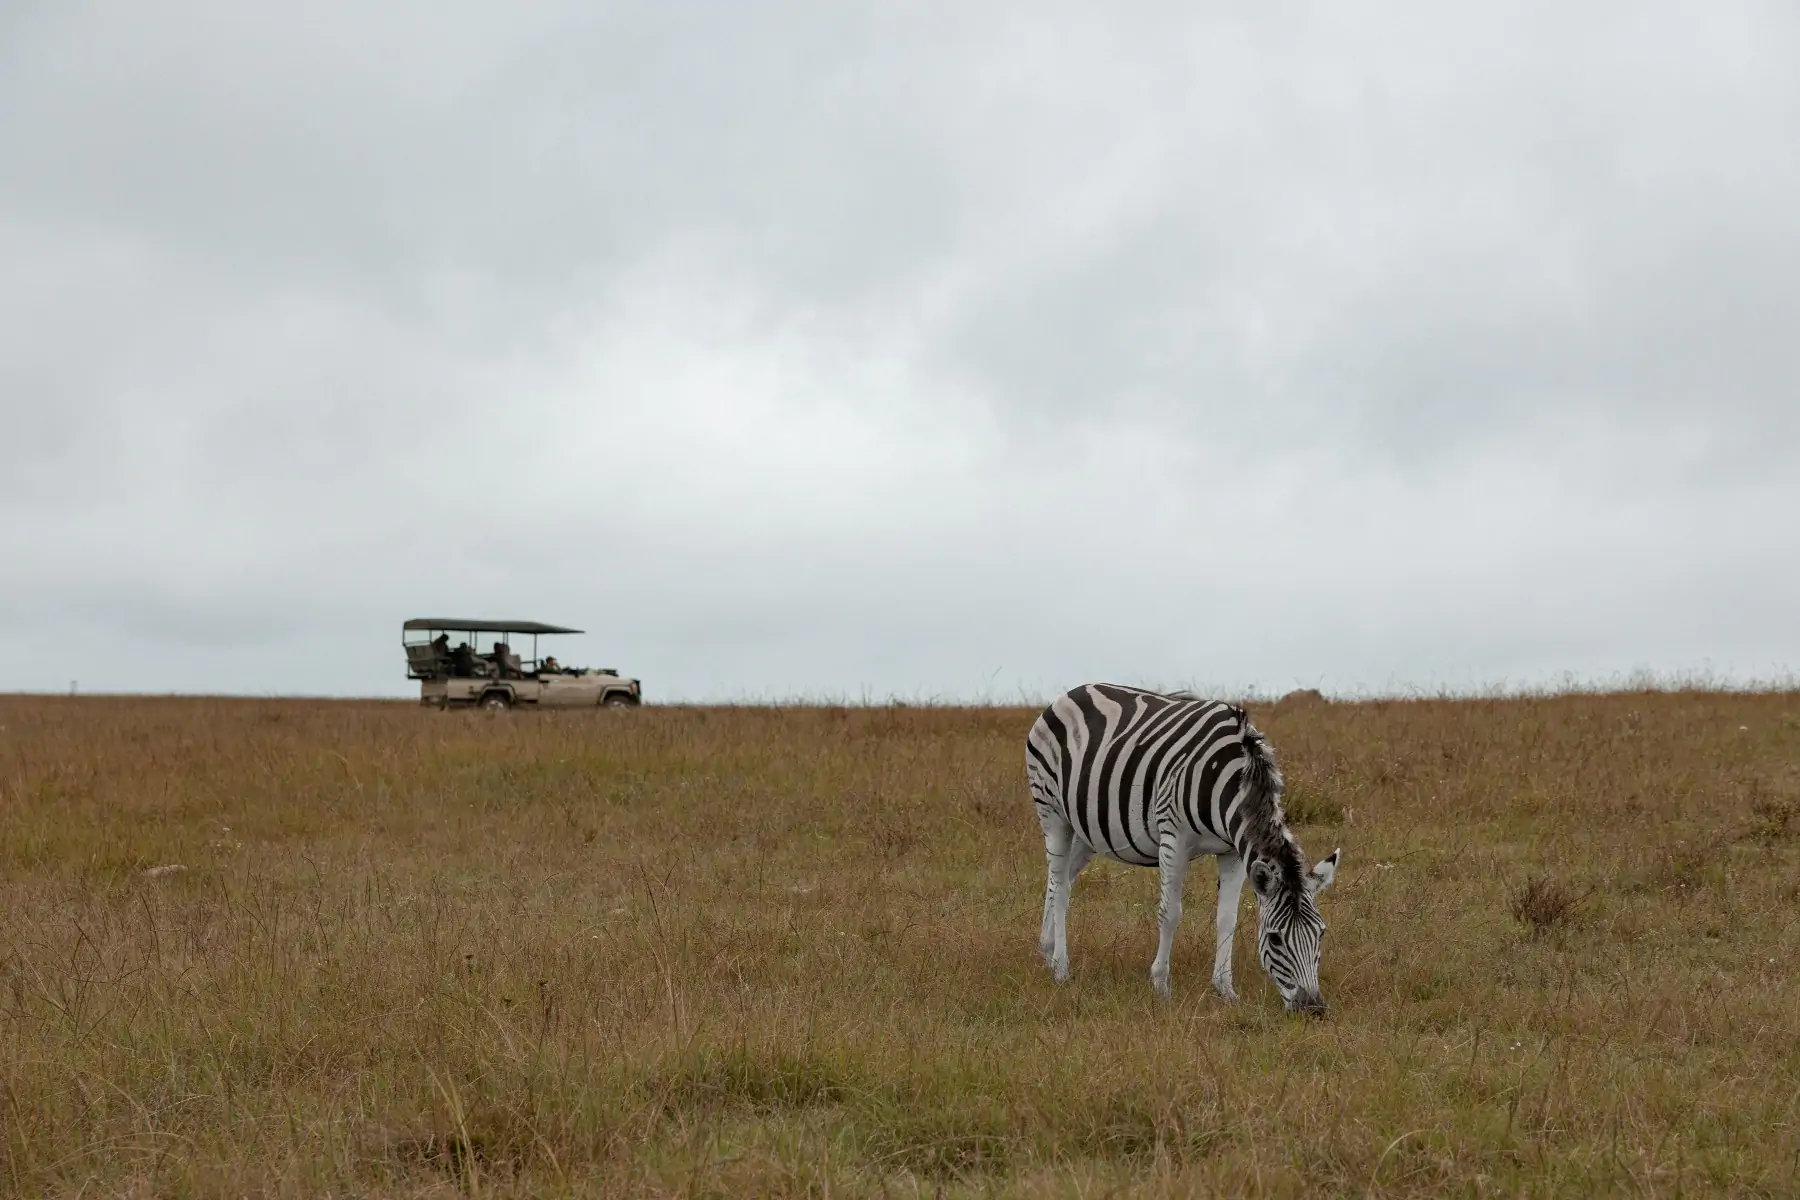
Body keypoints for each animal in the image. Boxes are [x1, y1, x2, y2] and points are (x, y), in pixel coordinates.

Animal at [1029, 683, 1339, 1014]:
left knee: (1059, 880)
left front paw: (1225, 989)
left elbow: (1227, 918)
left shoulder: (1232, 852)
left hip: (1088, 830)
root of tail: (1074, 691)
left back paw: (1047, 952)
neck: (1232, 779)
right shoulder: (1174, 839)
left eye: (1321, 932)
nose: (1313, 1009)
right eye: (1275, 939)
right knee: (1061, 886)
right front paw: (1161, 985)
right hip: (1052, 813)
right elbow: (1170, 914)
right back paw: (1061, 969)